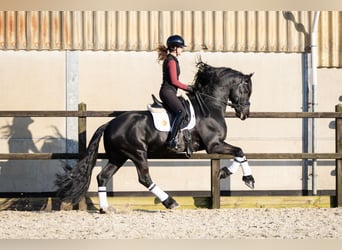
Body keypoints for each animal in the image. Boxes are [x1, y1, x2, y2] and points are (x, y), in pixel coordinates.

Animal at [56, 59, 254, 212]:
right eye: (246, 89)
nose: (245, 114)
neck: (209, 106)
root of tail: (110, 124)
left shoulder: (216, 145)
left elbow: (240, 152)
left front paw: (228, 173)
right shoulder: (214, 144)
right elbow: (240, 150)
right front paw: (244, 178)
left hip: (119, 156)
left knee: (102, 177)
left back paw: (105, 208)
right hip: (137, 153)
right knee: (144, 178)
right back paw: (170, 202)